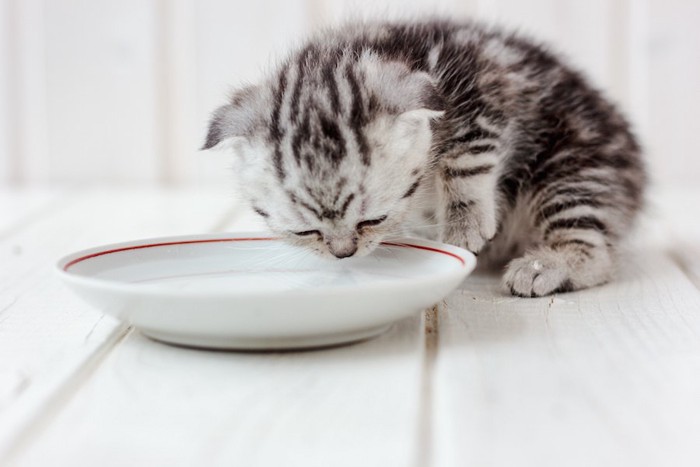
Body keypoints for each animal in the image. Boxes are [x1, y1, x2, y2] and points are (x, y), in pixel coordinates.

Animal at [201, 20, 644, 298]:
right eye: (305, 231)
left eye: (372, 219)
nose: (344, 253)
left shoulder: (484, 87)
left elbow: (467, 155)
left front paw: (464, 224)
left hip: (573, 166)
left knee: (593, 250)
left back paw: (542, 268)